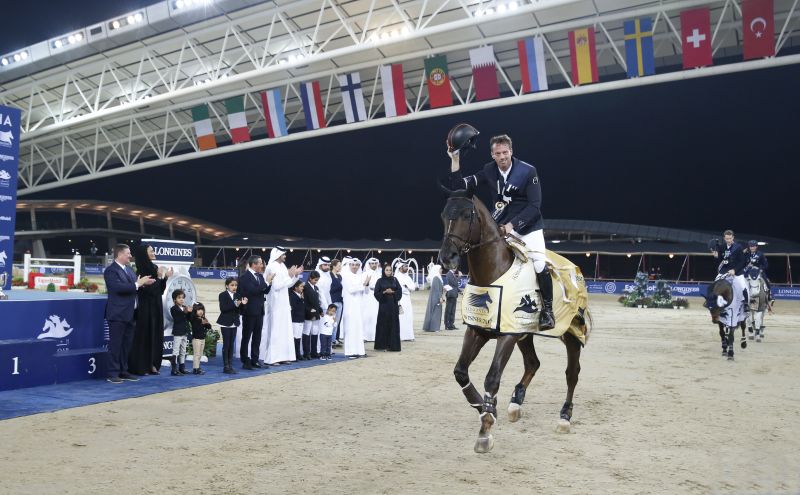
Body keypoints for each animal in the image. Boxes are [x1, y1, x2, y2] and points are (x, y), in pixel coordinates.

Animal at [438, 190, 580, 454]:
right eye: (443, 216)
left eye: (467, 215)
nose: (447, 258)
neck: (492, 273)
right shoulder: (479, 330)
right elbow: (460, 372)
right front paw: (484, 407)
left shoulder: (507, 335)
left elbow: (492, 377)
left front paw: (485, 428)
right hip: (525, 334)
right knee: (533, 363)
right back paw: (516, 402)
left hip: (572, 335)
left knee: (572, 373)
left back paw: (564, 417)